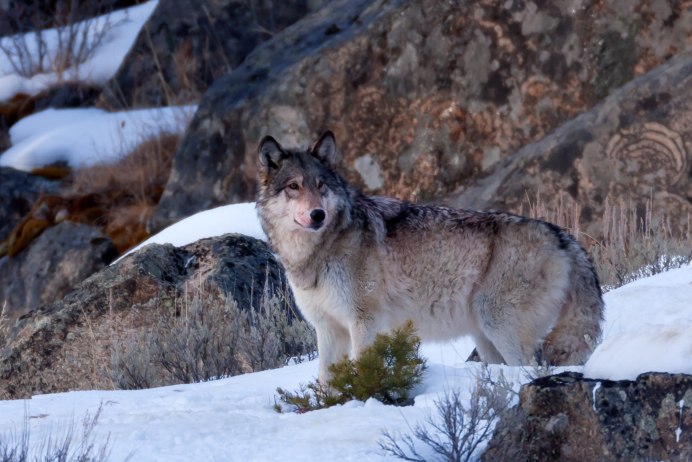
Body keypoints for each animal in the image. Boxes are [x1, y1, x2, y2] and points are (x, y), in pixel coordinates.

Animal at [256, 130, 604, 382]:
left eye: (321, 185)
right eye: (293, 186)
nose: (318, 215)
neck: (317, 253)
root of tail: (564, 237)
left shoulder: (365, 322)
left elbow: (363, 369)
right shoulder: (328, 329)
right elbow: (326, 381)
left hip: (500, 327)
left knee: (530, 368)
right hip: (486, 339)